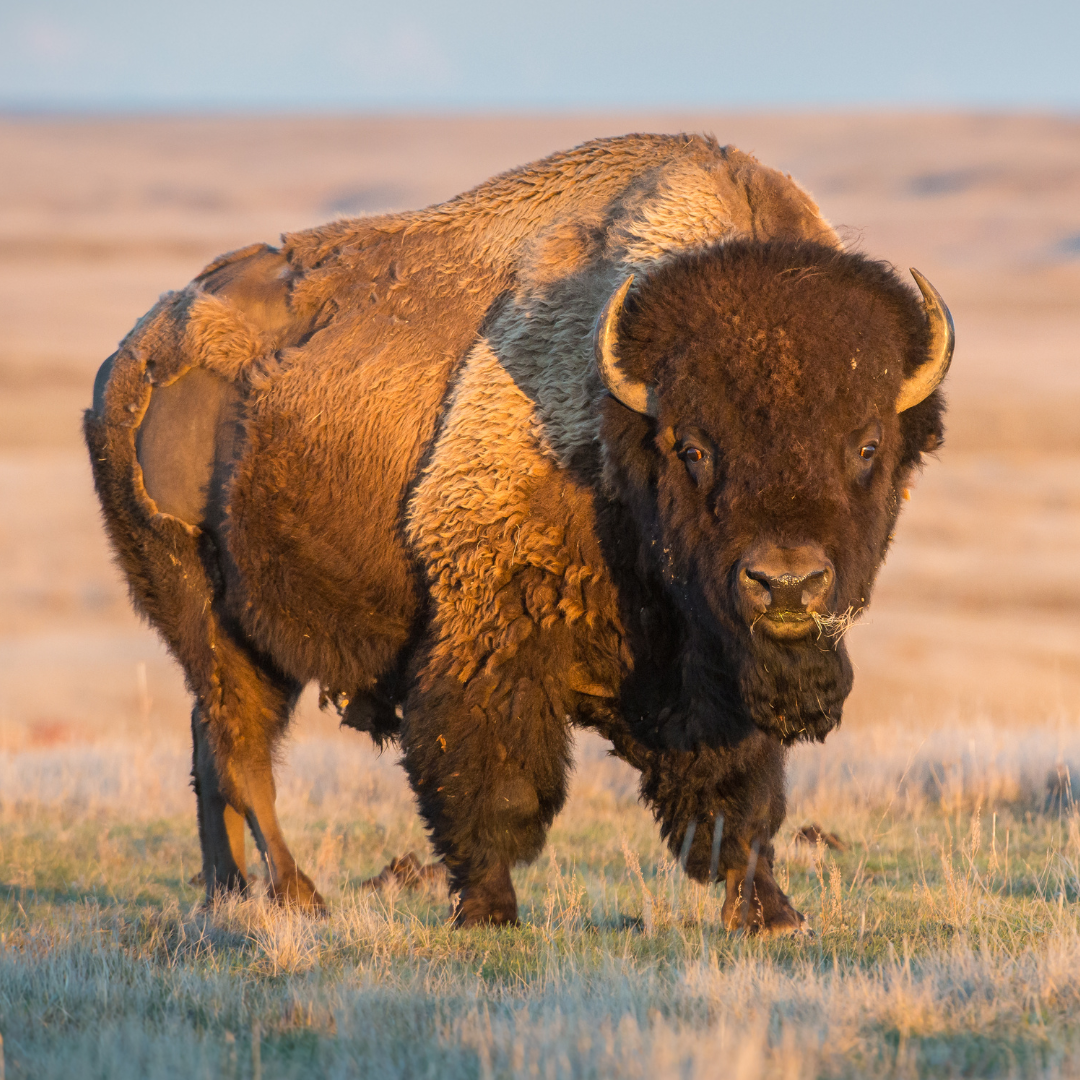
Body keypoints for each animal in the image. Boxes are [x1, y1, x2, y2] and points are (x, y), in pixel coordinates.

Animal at [86, 132, 954, 928]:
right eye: (694, 447)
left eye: (868, 446)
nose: (786, 583)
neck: (619, 427)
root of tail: (131, 357)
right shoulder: (490, 630)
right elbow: (493, 780)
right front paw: (488, 912)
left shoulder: (718, 674)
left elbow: (740, 798)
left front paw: (771, 913)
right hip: (203, 613)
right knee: (240, 751)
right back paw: (299, 898)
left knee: (212, 751)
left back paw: (228, 895)